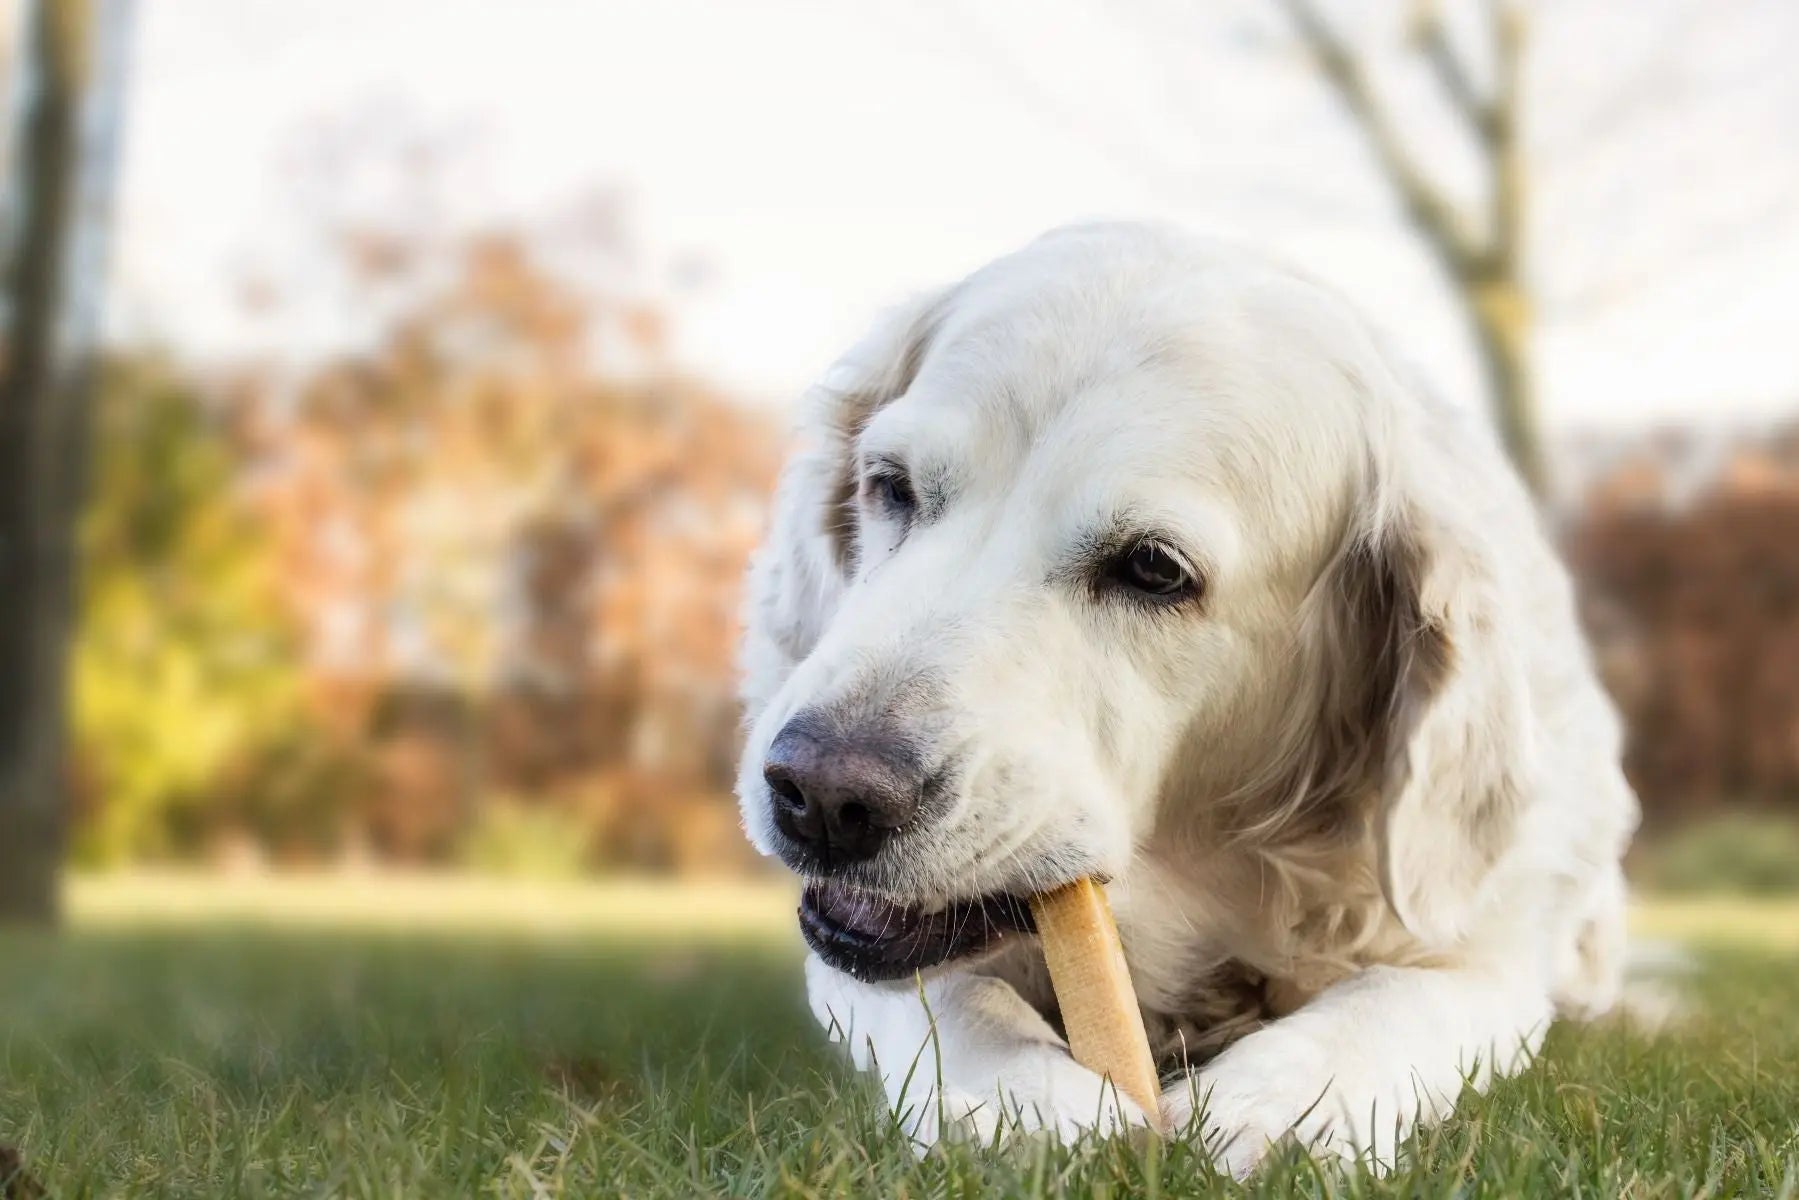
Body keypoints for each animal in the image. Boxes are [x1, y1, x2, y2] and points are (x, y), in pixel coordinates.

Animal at [726, 220, 1633, 1180]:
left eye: (1153, 569)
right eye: (891, 485)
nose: (822, 795)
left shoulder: (1483, 938)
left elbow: (1405, 992)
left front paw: (1288, 1104)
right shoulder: (860, 959)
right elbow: (947, 994)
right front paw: (1017, 1099)